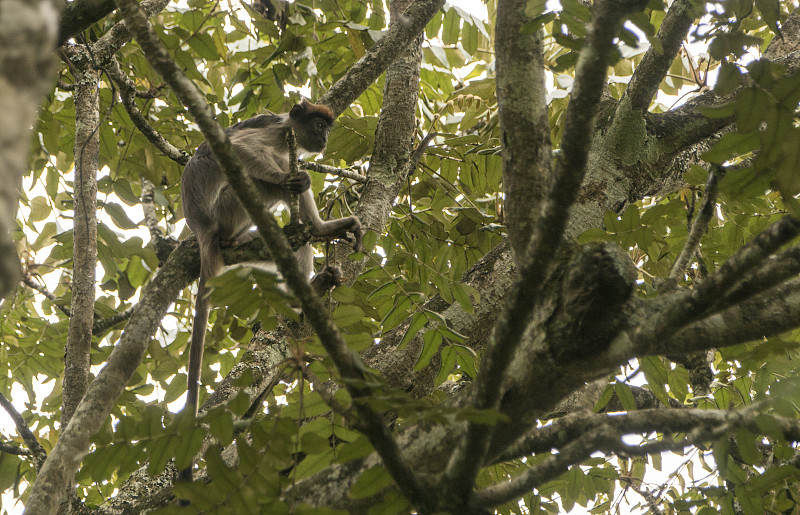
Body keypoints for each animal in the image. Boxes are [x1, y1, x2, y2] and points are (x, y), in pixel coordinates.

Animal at [179, 99, 362, 482]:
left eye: (328, 128)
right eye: (319, 125)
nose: (324, 138)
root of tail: (201, 227)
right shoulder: (277, 133)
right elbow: (241, 148)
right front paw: (285, 178)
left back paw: (318, 238)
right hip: (229, 208)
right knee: (262, 179)